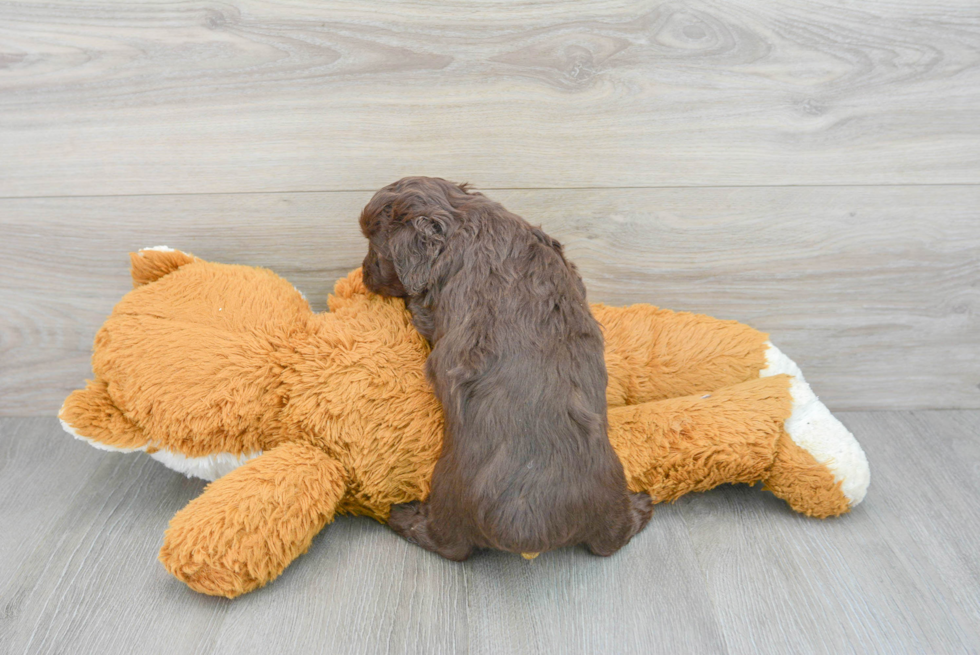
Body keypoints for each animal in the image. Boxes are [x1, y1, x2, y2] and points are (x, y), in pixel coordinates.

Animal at [360, 177, 652, 560]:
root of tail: (526, 526)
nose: (362, 275)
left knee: (445, 544)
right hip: (610, 495)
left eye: (375, 248)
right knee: (612, 540)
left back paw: (401, 515)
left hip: (448, 499)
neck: (464, 219)